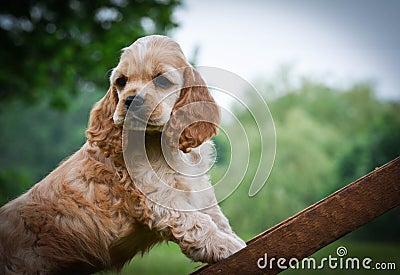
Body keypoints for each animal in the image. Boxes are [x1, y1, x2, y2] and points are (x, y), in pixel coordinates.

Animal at [0, 35, 245, 274]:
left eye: (162, 81)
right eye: (121, 82)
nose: (130, 100)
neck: (160, 144)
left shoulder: (197, 189)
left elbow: (216, 217)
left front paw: (232, 239)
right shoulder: (157, 196)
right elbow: (198, 222)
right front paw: (228, 245)